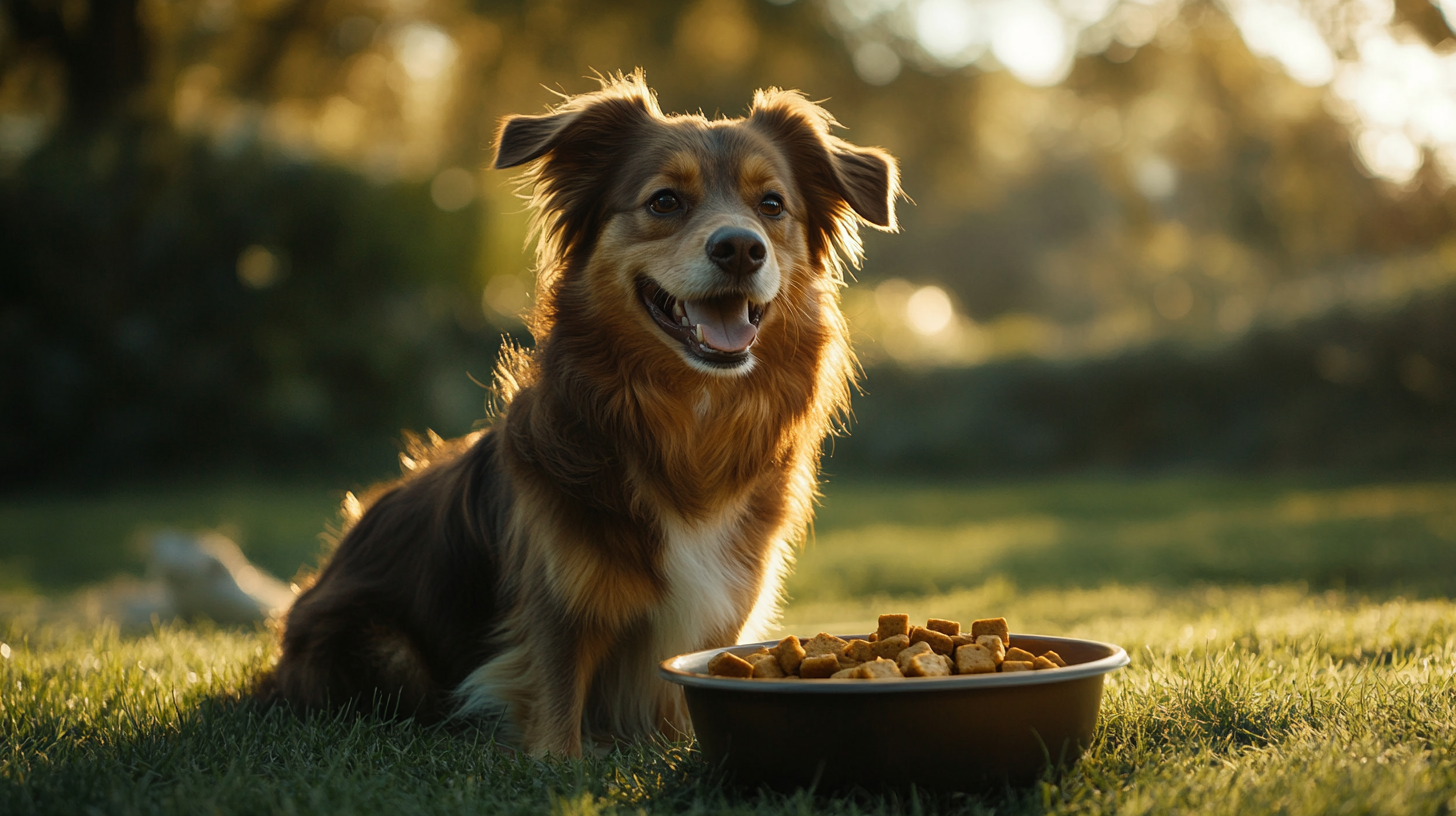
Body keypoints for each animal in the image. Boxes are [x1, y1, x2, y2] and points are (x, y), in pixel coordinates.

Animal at [262, 73, 896, 757]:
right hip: (375, 644)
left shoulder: (720, 611)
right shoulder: (556, 601)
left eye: (773, 205)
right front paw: (560, 762)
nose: (740, 248)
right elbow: (557, 700)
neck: (688, 418)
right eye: (664, 201)